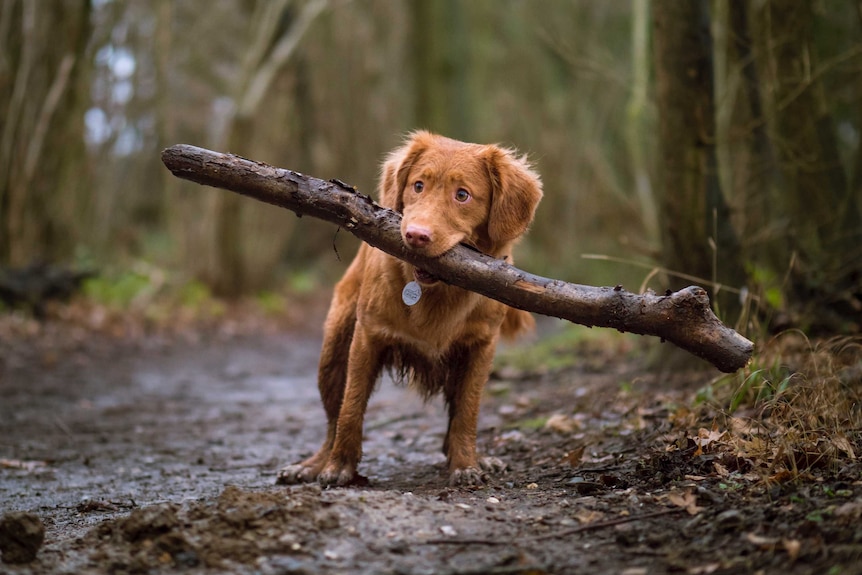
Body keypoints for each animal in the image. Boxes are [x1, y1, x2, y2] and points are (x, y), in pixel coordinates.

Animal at [276, 130, 544, 486]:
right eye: (418, 185)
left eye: (462, 195)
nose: (416, 235)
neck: (437, 291)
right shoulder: (367, 337)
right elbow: (351, 407)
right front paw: (339, 467)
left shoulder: (481, 347)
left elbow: (467, 411)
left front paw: (466, 464)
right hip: (333, 352)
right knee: (333, 418)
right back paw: (313, 464)